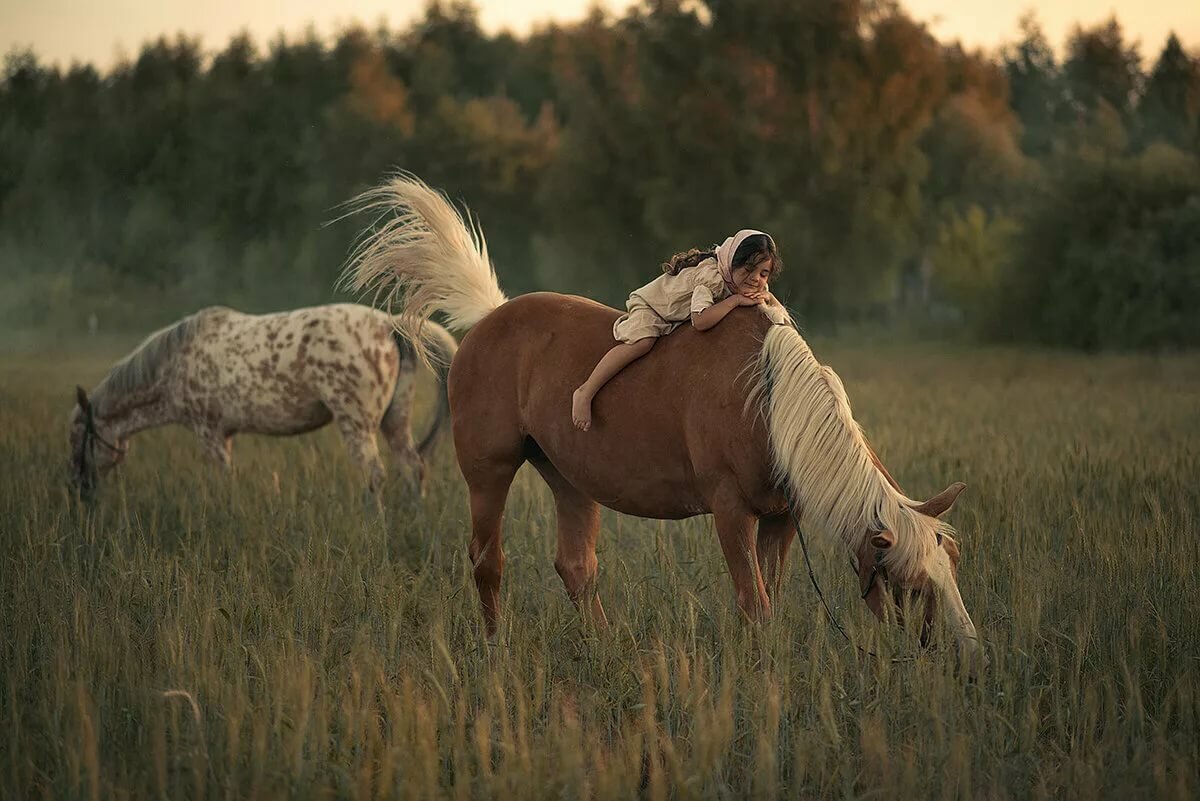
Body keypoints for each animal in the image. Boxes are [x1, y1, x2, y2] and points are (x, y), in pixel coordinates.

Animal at [68, 303, 457, 498]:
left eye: (76, 437)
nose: (77, 487)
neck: (175, 363)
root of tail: (389, 324)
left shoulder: (209, 434)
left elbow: (223, 482)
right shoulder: (224, 435)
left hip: (358, 426)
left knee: (374, 476)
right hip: (395, 422)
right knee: (413, 468)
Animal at [342, 174, 983, 659]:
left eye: (952, 565)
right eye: (913, 584)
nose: (969, 656)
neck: (769, 401)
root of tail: (487, 320)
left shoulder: (780, 518)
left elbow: (770, 597)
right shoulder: (731, 512)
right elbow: (754, 604)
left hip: (569, 478)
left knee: (576, 567)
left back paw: (604, 651)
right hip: (488, 473)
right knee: (487, 561)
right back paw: (497, 649)